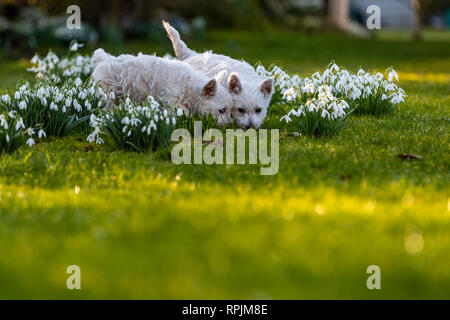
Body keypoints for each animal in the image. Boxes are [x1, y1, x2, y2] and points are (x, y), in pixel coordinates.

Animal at [91, 48, 232, 125]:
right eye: (222, 110)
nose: (228, 124)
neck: (188, 85)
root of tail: (103, 59)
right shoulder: (169, 97)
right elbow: (184, 111)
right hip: (107, 93)